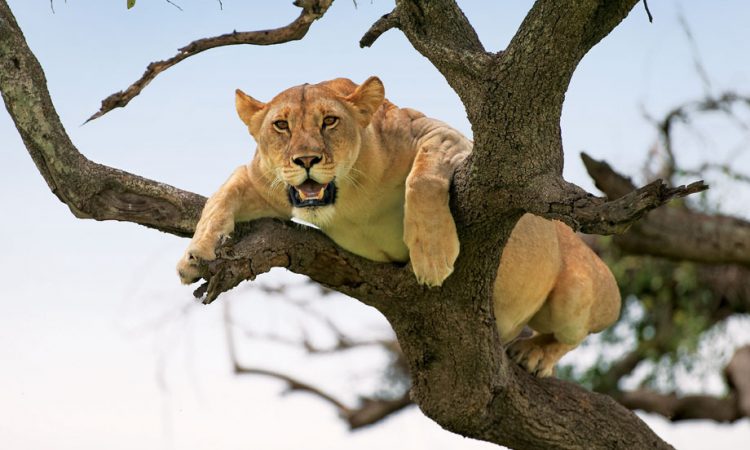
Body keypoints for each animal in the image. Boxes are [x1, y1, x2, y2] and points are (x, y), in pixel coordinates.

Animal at [177, 76, 621, 377]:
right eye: (281, 125)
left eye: (330, 121)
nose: (306, 160)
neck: (348, 196)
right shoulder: (263, 181)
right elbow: (223, 193)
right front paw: (195, 257)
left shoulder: (445, 137)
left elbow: (421, 178)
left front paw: (433, 257)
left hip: (577, 292)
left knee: (574, 334)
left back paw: (534, 354)